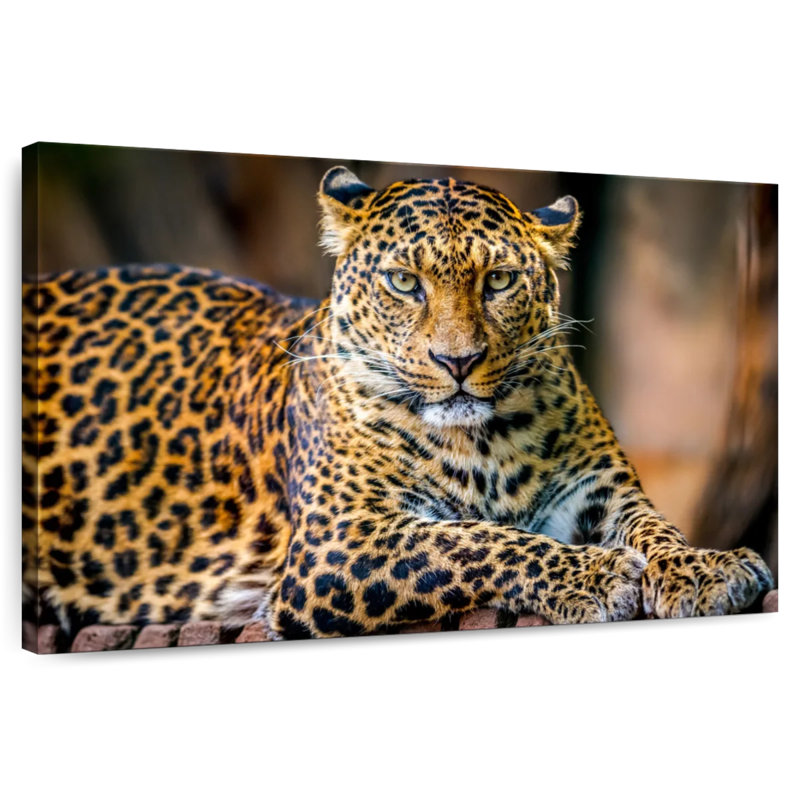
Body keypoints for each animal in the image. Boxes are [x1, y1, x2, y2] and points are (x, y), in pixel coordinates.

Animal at [22, 165, 774, 641]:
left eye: (499, 280)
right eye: (404, 282)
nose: (457, 361)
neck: (484, 442)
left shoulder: (600, 493)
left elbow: (656, 529)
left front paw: (707, 567)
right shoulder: (337, 543)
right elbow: (471, 540)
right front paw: (590, 574)